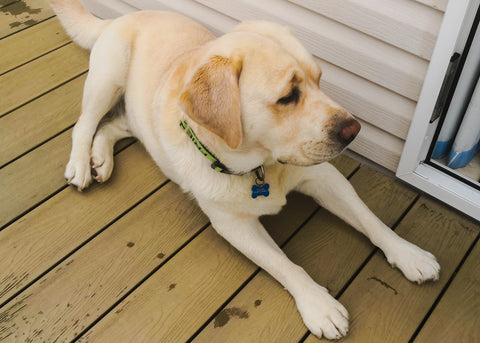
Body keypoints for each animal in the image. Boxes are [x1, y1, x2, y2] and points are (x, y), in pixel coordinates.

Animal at [48, 0, 438, 338]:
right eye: (287, 97)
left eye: (320, 80)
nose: (353, 131)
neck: (262, 169)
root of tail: (124, 17)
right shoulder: (233, 224)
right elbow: (284, 264)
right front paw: (319, 305)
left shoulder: (324, 175)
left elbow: (370, 220)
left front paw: (409, 254)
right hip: (108, 77)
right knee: (85, 124)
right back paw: (81, 164)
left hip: (134, 115)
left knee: (111, 127)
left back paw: (101, 158)